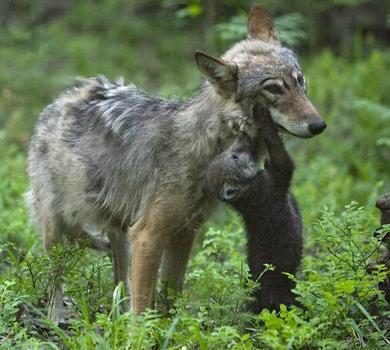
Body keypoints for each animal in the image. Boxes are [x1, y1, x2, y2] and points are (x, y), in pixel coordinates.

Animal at [26, 4, 322, 320]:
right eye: (273, 89)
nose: (319, 125)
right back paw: (56, 317)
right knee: (57, 277)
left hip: (120, 232)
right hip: (56, 229)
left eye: (299, 80)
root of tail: (66, 96)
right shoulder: (148, 235)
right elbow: (142, 309)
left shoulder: (185, 233)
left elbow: (170, 297)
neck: (209, 145)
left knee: (119, 281)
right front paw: (142, 331)